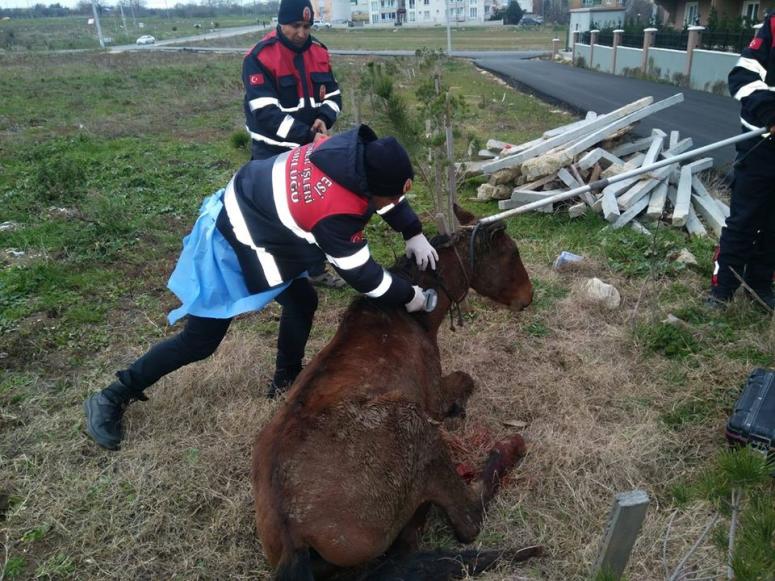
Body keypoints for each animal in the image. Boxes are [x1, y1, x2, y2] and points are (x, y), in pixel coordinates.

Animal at [255, 206, 540, 576]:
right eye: (512, 253)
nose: (528, 297)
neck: (409, 317)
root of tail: (293, 540)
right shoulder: (434, 397)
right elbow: (466, 380)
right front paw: (460, 407)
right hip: (416, 429)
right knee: (467, 519)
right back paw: (510, 447)